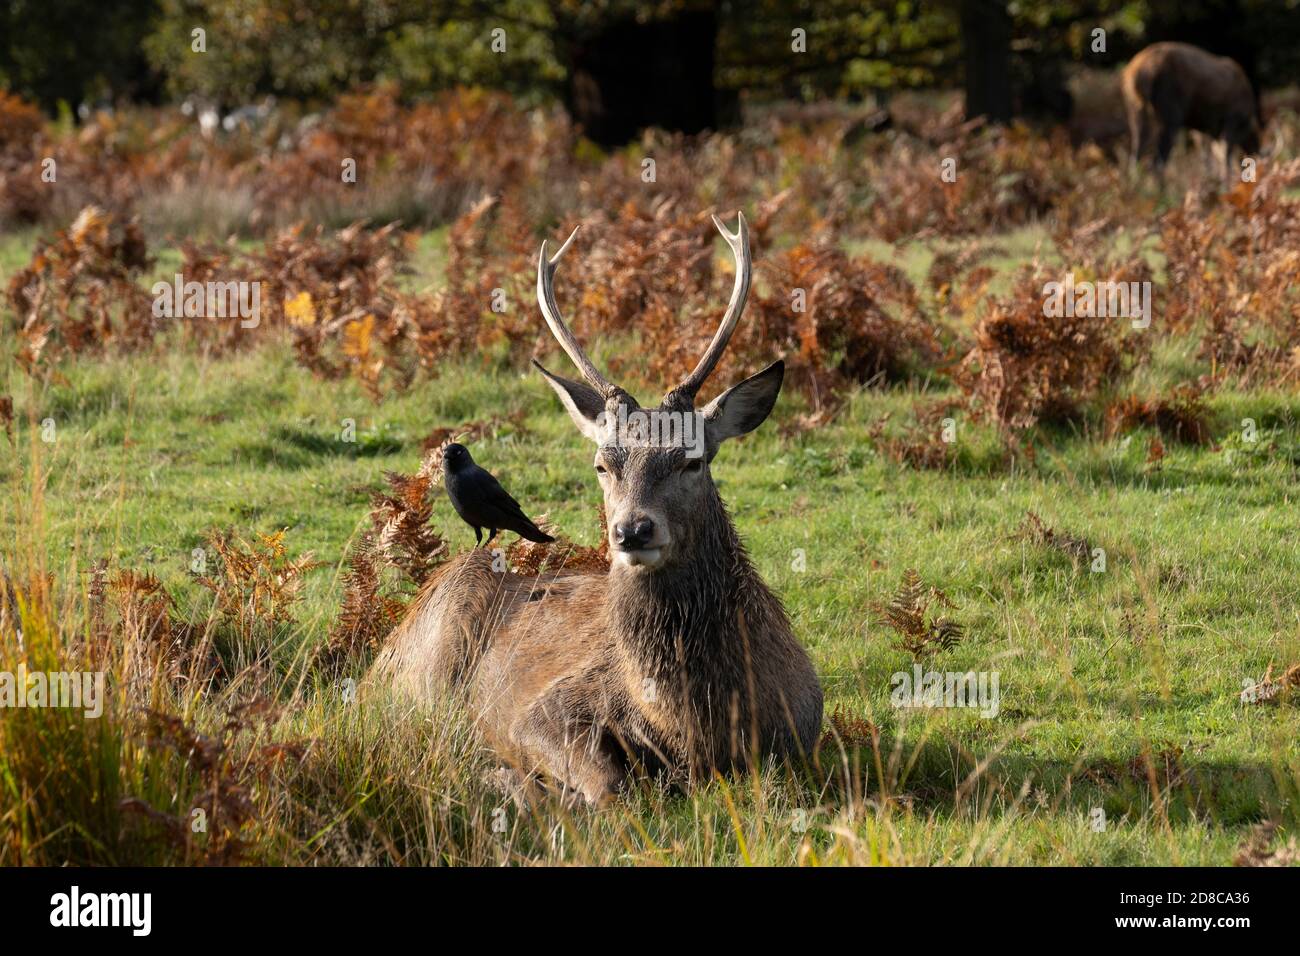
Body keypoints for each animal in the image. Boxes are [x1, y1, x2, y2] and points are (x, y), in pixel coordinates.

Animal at [367, 212, 823, 806]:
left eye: (692, 460)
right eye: (603, 464)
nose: (632, 530)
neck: (693, 727)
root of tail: (377, 660)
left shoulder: (803, 736)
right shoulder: (540, 710)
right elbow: (610, 788)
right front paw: (517, 781)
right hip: (427, 670)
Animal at [1122, 42, 1261, 183]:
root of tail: (1139, 74)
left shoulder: (1204, 127)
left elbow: (1208, 154)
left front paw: (1211, 178)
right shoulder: (1231, 119)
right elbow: (1224, 153)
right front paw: (1224, 180)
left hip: (1136, 109)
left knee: (1136, 153)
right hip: (1170, 110)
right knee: (1158, 161)